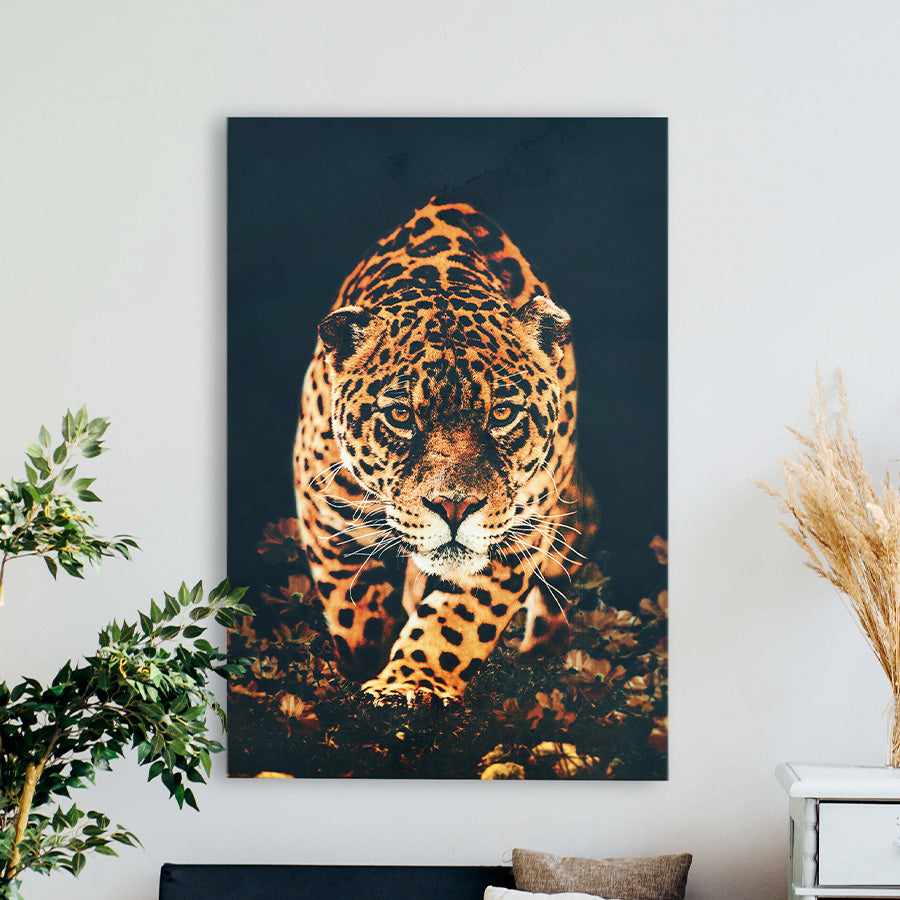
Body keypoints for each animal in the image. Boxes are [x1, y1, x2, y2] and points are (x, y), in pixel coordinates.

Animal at [293, 198, 597, 704]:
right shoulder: (327, 509)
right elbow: (354, 606)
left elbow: (458, 622)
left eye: (501, 414)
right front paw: (366, 665)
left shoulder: (519, 530)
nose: (454, 507)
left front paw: (409, 683)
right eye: (401, 415)